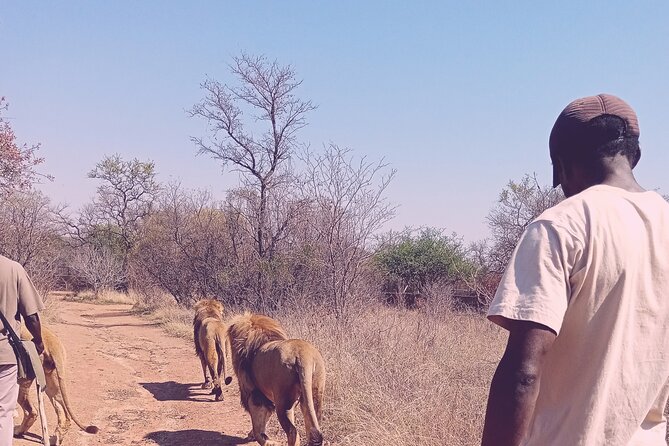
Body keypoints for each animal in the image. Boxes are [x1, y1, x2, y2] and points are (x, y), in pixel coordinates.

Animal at [227, 312, 326, 446]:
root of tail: (302, 354)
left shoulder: (254, 394)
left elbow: (258, 425)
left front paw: (264, 440)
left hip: (283, 403)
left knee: (293, 432)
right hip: (314, 395)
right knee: (313, 428)